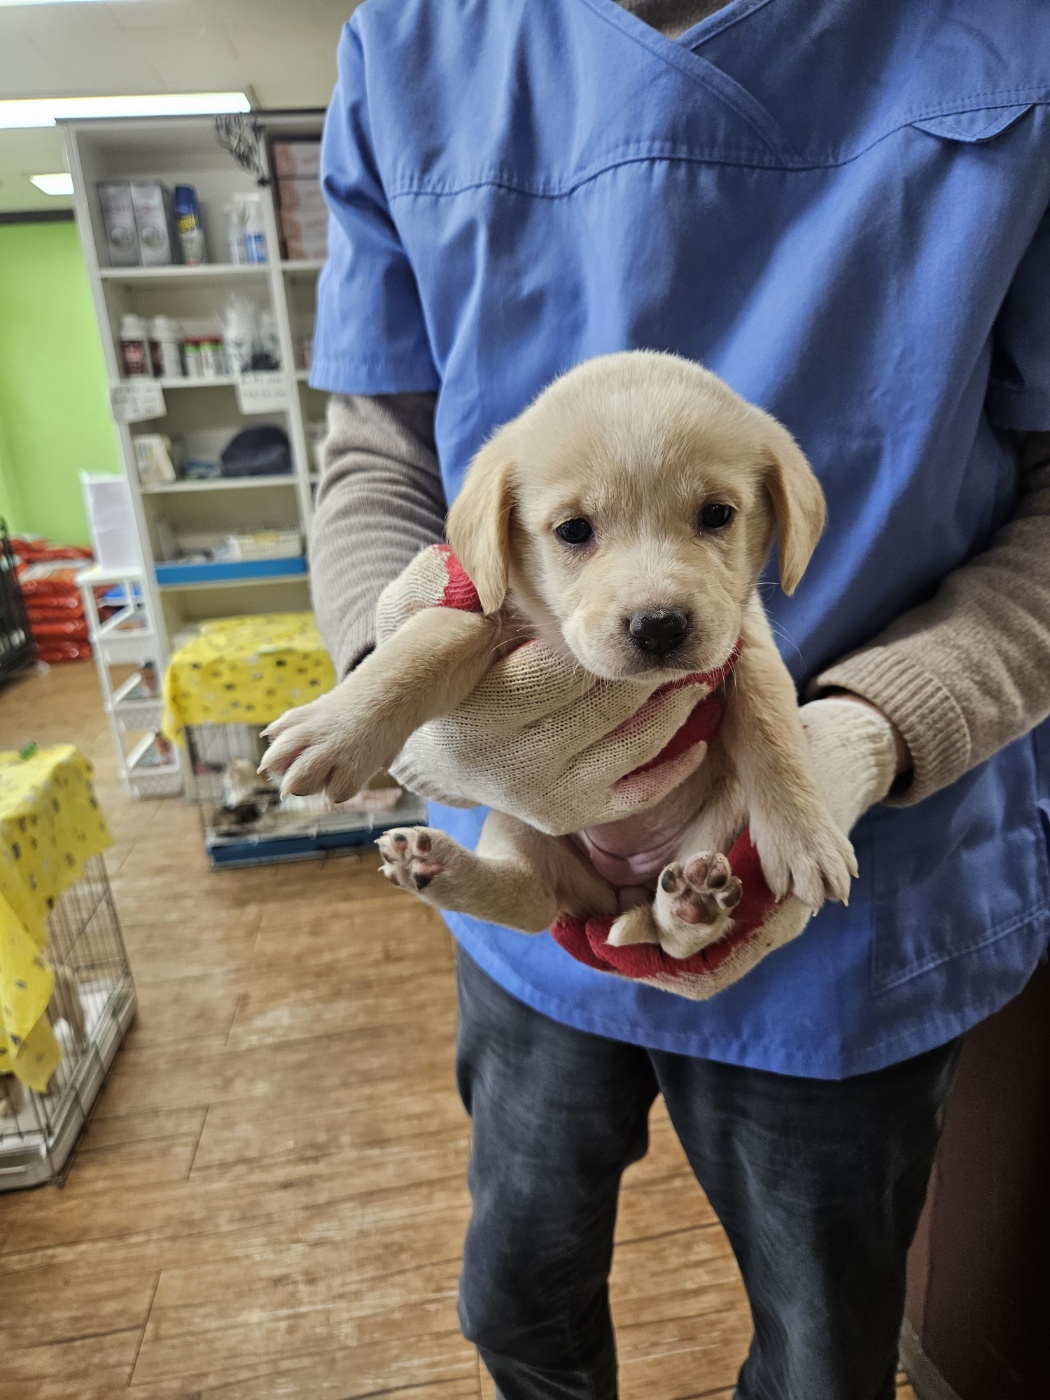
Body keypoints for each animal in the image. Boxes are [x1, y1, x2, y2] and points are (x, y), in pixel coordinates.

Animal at [261, 355, 856, 957]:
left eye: (716, 514)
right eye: (573, 529)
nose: (659, 627)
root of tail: (619, 890)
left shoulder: (746, 638)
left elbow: (771, 729)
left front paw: (805, 837)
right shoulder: (491, 609)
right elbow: (429, 641)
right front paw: (337, 727)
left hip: (721, 810)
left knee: (672, 937)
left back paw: (694, 902)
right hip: (517, 820)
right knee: (532, 898)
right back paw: (437, 867)